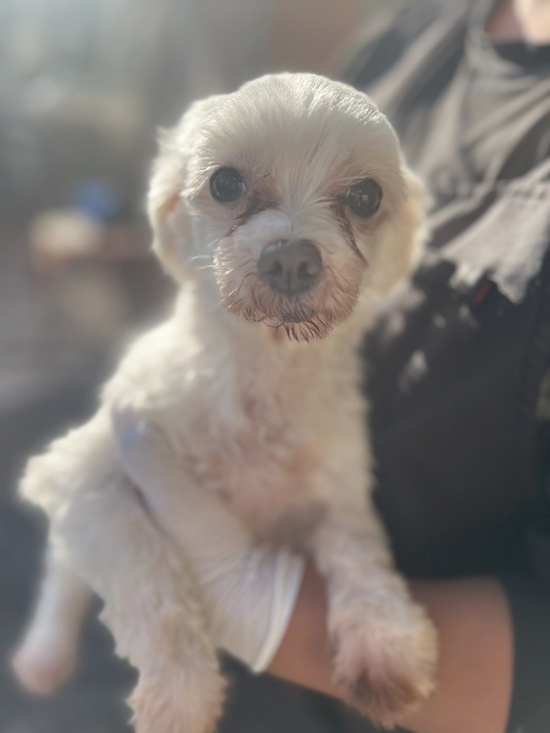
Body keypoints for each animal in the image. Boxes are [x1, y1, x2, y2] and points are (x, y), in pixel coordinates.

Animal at [11, 73, 437, 732]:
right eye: (226, 183)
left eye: (366, 197)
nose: (291, 257)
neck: (263, 377)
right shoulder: (90, 470)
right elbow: (148, 578)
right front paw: (180, 693)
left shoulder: (335, 496)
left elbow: (361, 554)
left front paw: (382, 638)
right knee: (65, 576)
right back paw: (45, 652)